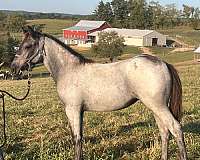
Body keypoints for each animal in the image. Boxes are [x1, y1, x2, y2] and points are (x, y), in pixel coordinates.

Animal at [10, 26, 187, 160]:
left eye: (27, 46)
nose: (13, 68)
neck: (69, 69)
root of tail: (162, 62)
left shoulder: (72, 109)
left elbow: (76, 138)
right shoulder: (79, 111)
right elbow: (79, 137)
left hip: (158, 106)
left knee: (175, 128)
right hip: (156, 107)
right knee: (164, 131)